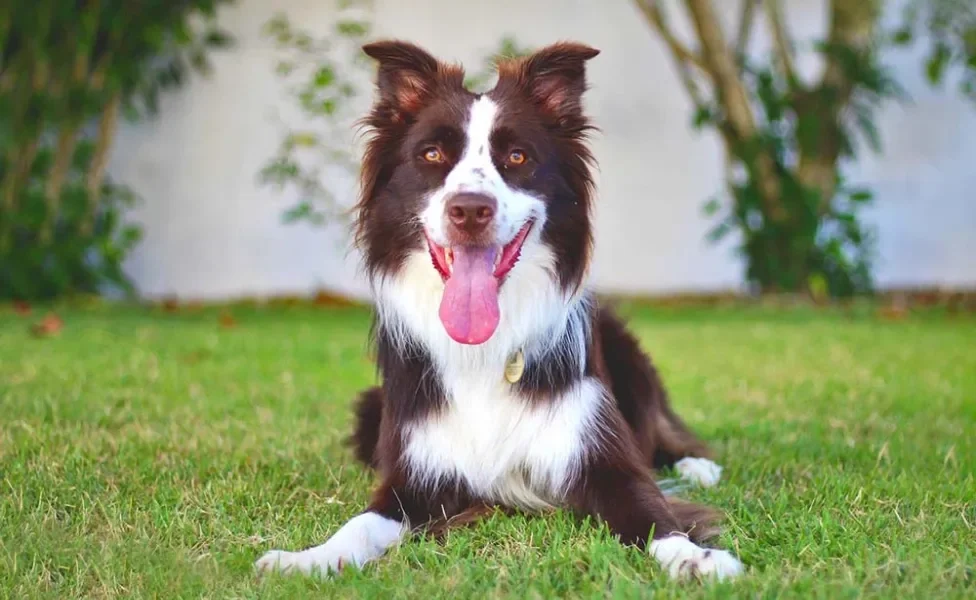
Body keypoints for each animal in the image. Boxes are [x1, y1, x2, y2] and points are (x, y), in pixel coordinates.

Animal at [255, 38, 744, 580]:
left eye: (516, 156)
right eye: (432, 154)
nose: (469, 209)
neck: (484, 348)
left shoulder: (603, 458)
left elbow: (654, 515)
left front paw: (696, 557)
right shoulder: (412, 475)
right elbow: (360, 524)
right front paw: (307, 557)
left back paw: (697, 465)